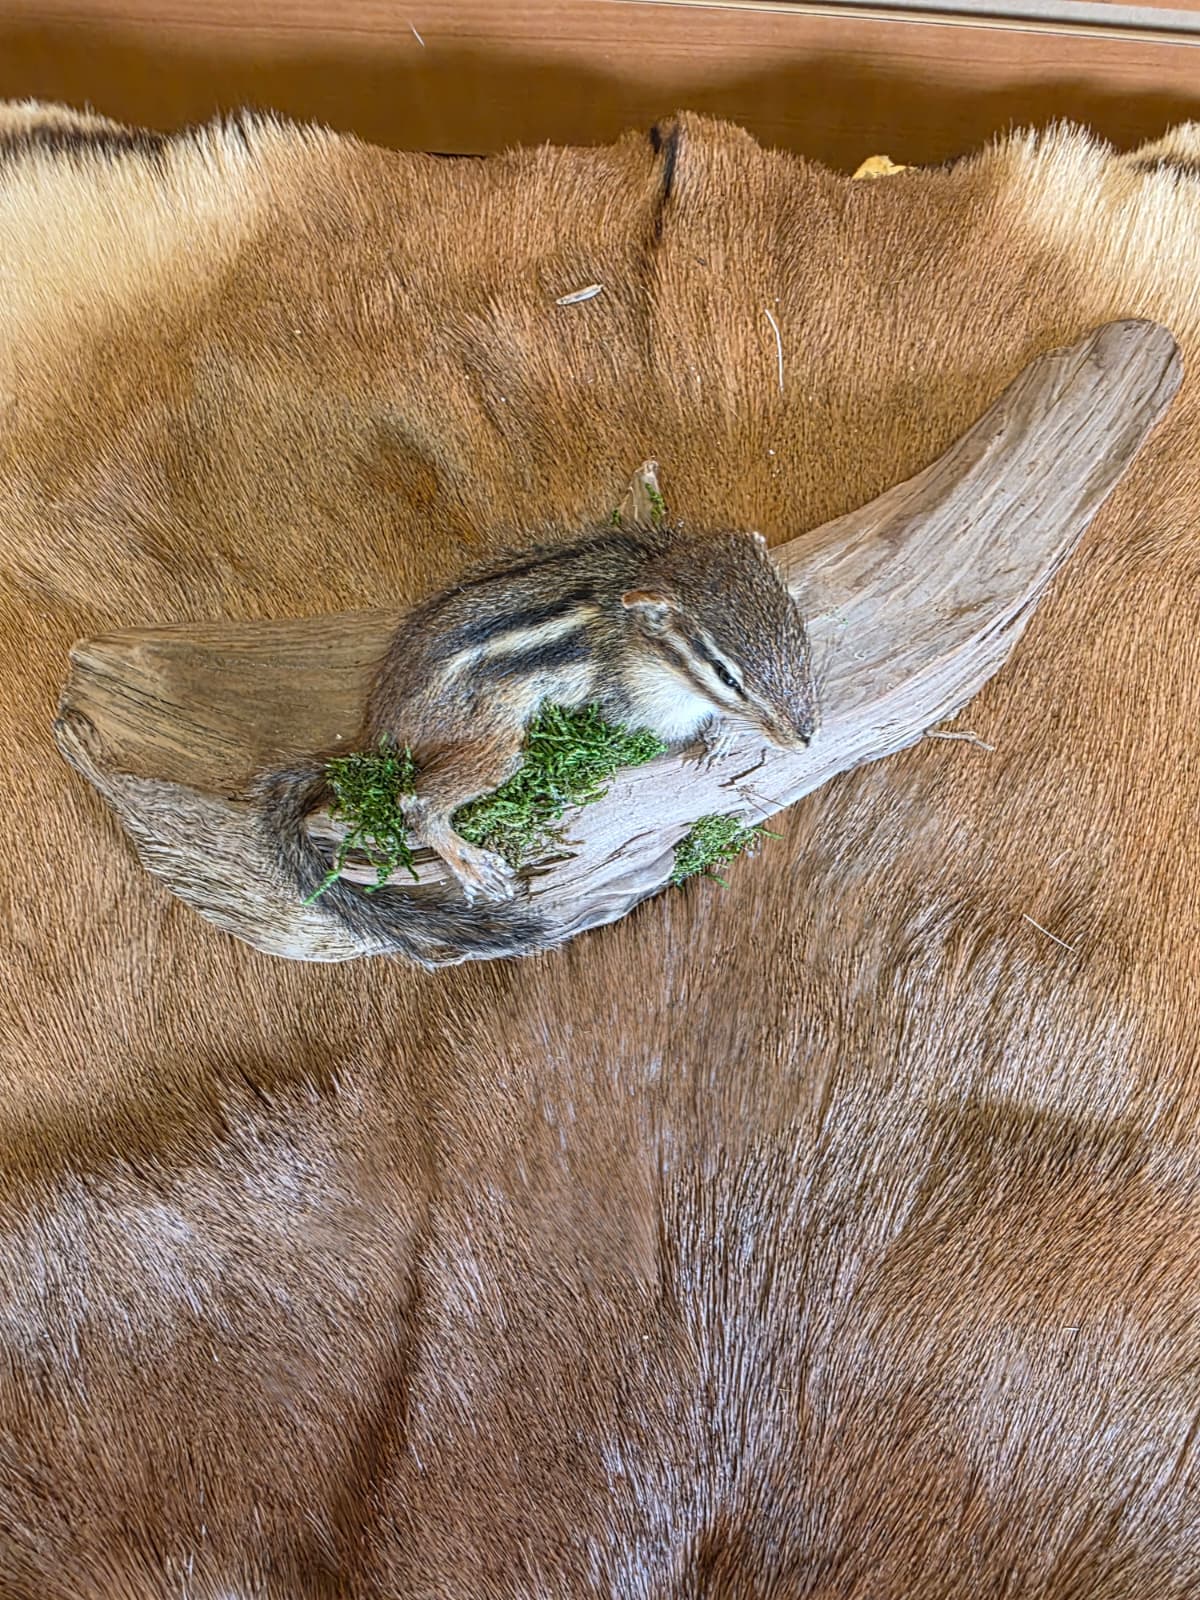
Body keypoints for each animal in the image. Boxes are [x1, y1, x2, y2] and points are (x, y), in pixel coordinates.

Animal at [255, 523, 817, 967]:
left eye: (797, 625)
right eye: (726, 675)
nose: (805, 737)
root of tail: (379, 728)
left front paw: (722, 733)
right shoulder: (632, 705)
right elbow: (660, 735)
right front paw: (716, 731)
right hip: (497, 744)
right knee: (414, 799)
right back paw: (471, 862)